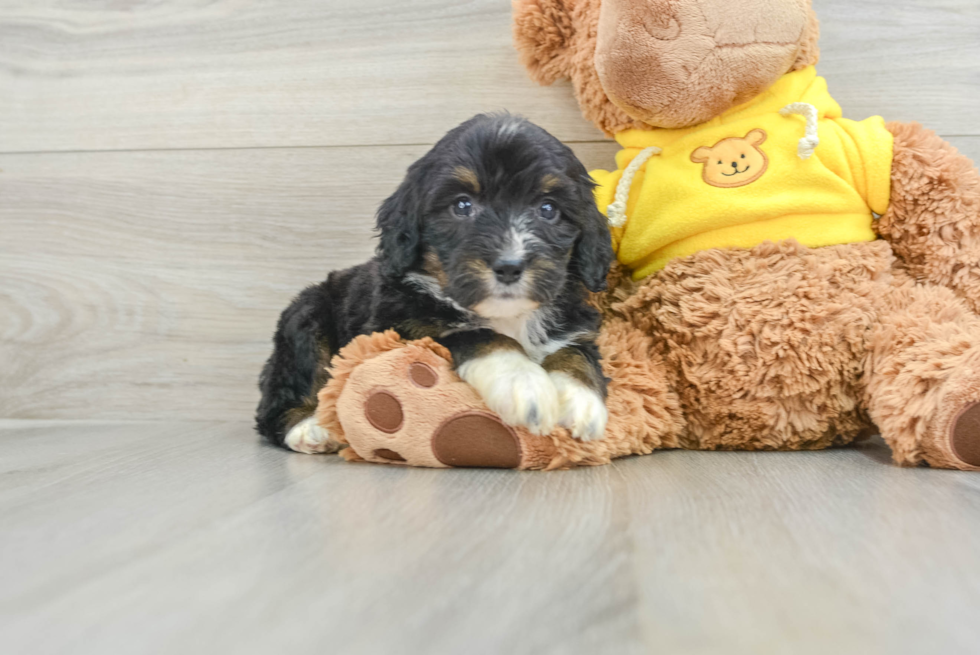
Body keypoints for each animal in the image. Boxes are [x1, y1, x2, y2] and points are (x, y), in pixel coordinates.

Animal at [255, 115, 612, 454]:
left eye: (548, 209)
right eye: (463, 205)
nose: (510, 266)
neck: (507, 316)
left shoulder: (576, 326)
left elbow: (575, 353)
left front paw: (580, 401)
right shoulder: (400, 329)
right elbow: (478, 334)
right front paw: (523, 383)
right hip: (306, 319)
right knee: (277, 402)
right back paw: (309, 429)